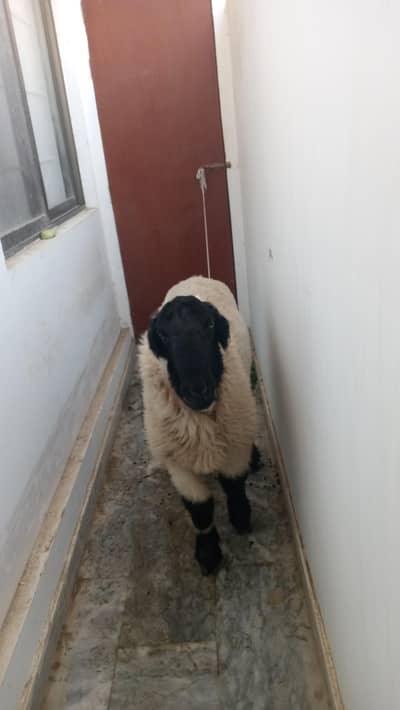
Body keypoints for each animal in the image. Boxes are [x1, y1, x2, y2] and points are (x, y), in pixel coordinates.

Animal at [138, 276, 260, 575]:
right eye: (164, 335)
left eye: (210, 325)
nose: (198, 391)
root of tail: (196, 277)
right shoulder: (178, 463)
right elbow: (200, 509)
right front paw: (208, 553)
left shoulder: (234, 444)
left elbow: (234, 485)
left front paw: (241, 518)